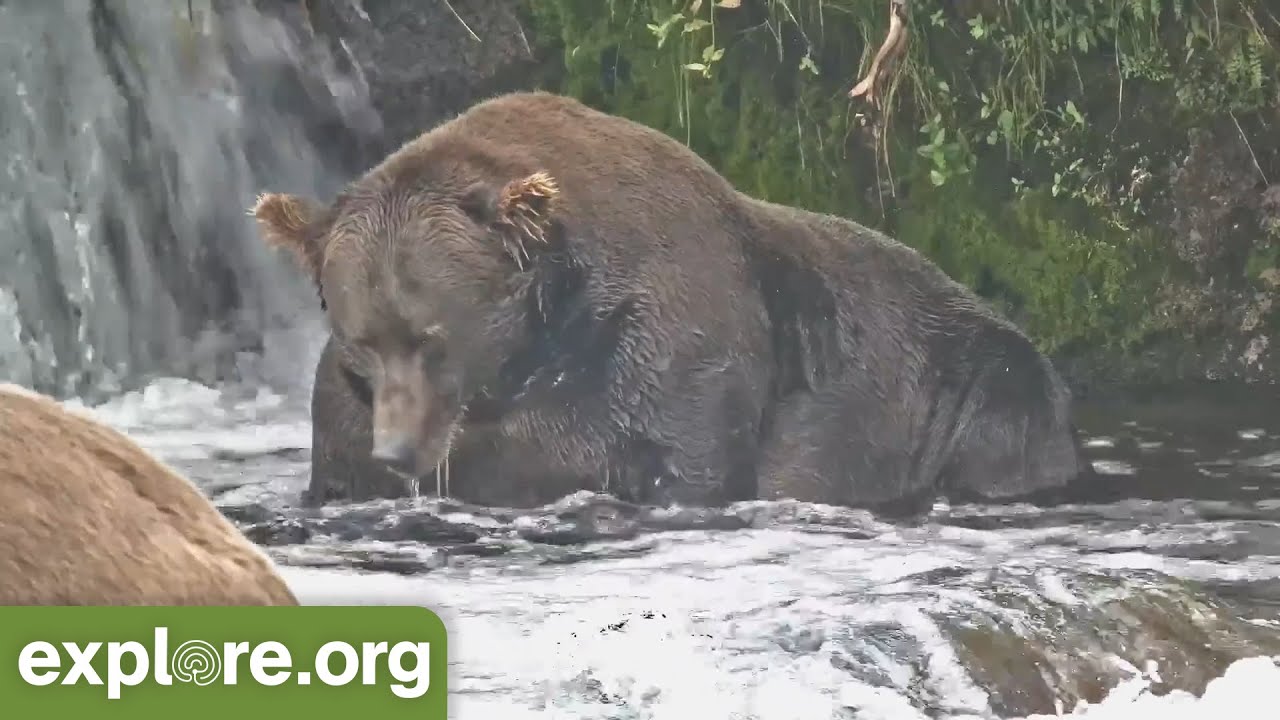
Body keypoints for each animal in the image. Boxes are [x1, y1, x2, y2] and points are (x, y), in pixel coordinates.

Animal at [252, 90, 1088, 514]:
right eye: (363, 338)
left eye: (432, 336)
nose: (397, 452)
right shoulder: (349, 413)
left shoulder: (675, 350)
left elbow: (688, 460)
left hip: (968, 389)